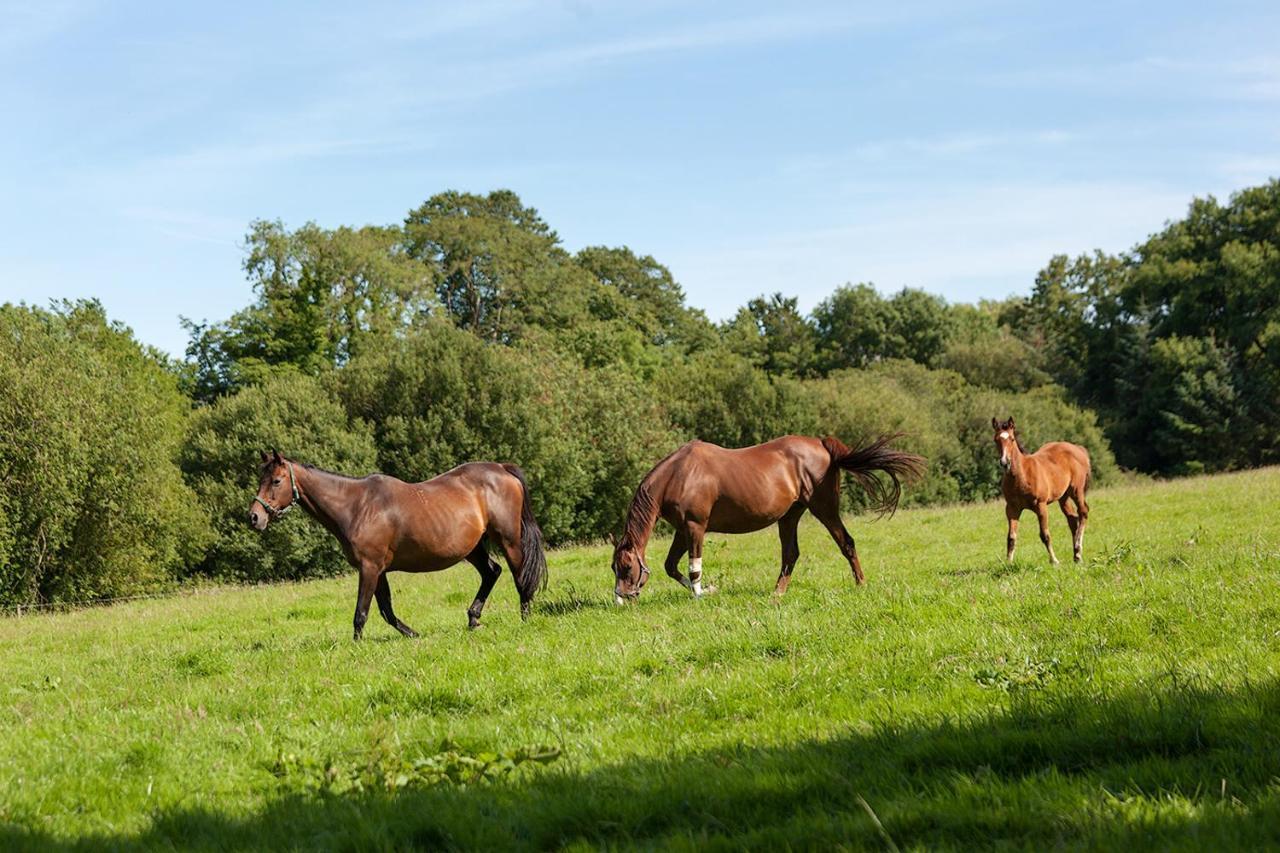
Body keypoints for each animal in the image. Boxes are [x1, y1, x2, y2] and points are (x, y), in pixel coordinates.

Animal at [250, 450, 550, 637]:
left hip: (508, 539)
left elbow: (362, 612)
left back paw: (525, 618)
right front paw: (413, 633)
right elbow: (386, 610)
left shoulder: (369, 568)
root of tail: (501, 469)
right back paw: (473, 618)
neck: (355, 506)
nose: (254, 517)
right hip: (473, 548)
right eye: (261, 479)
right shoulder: (378, 570)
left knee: (520, 576)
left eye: (276, 480)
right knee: (492, 572)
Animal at [606, 432, 921, 596]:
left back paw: (860, 583)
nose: (623, 598)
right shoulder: (683, 530)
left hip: (824, 508)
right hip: (790, 516)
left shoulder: (696, 528)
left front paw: (702, 593)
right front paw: (707, 589)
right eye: (614, 568)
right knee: (790, 554)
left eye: (627, 567)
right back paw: (778, 593)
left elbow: (694, 568)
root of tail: (822, 444)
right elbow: (671, 566)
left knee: (846, 543)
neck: (679, 475)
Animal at [988, 414, 1090, 560]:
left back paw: (1078, 548)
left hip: (1076, 490)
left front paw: (1054, 561)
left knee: (1083, 512)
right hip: (1063, 497)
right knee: (1072, 519)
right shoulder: (1012, 508)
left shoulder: (1041, 506)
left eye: (1012, 439)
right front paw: (1008, 562)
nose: (1004, 462)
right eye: (996, 440)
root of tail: (1078, 449)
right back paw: (1076, 555)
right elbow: (1011, 538)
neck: (1021, 476)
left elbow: (1045, 535)